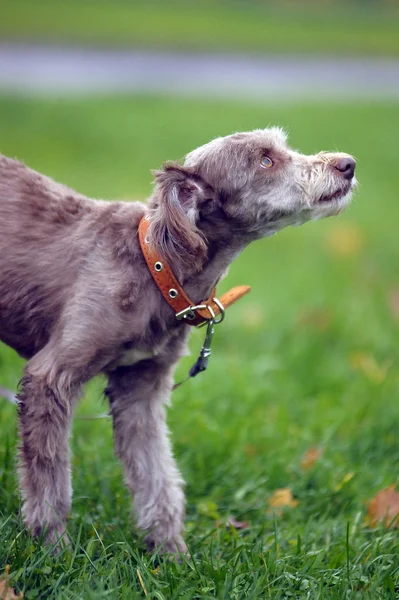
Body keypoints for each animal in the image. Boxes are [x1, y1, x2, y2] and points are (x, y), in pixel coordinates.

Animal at [0, 129, 356, 556]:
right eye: (266, 160)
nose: (347, 164)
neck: (157, 265)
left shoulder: (141, 392)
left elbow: (157, 476)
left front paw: (170, 553)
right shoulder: (50, 380)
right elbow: (50, 481)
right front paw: (55, 549)